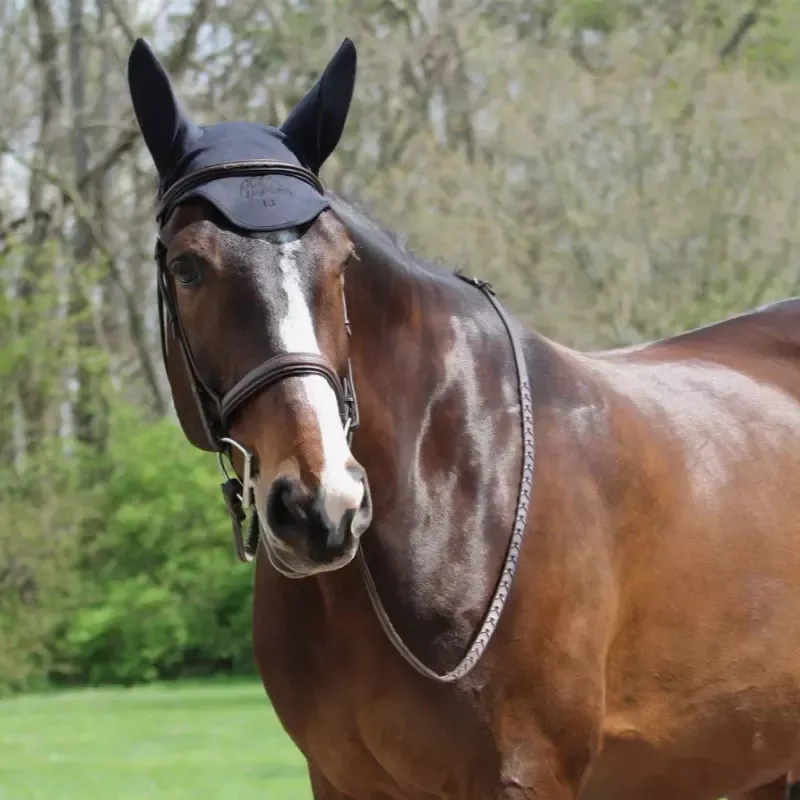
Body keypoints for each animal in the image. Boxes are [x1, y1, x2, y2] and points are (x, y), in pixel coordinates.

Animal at [128, 35, 800, 800]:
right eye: (187, 268)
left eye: (340, 262)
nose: (322, 506)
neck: (444, 485)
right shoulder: (338, 779)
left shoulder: (527, 774)